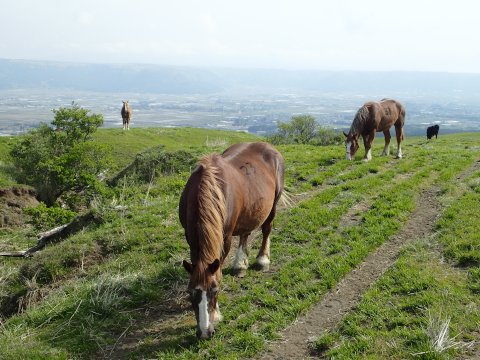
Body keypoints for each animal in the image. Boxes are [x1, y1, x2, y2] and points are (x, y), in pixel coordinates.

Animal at [180, 142, 284, 338]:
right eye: (190, 292)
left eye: (215, 290)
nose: (204, 332)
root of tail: (268, 146)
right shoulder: (190, 238)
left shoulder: (225, 237)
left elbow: (218, 269)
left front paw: (216, 314)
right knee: (245, 234)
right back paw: (240, 265)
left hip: (273, 203)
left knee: (266, 229)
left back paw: (262, 260)